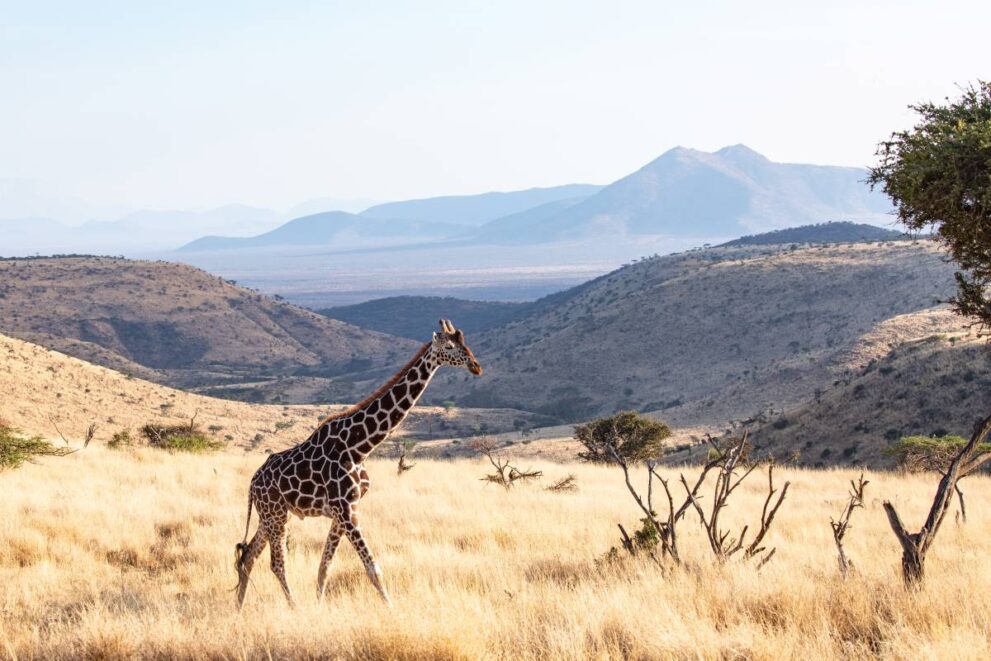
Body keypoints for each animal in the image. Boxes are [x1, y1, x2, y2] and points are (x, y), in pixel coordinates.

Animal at [235, 319, 482, 608]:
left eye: (465, 342)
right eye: (450, 346)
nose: (476, 365)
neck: (359, 447)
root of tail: (253, 483)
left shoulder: (345, 510)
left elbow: (325, 566)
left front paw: (320, 606)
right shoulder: (345, 509)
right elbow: (373, 568)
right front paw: (391, 609)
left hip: (270, 514)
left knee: (248, 554)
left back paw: (238, 609)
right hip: (275, 514)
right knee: (276, 563)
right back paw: (293, 608)